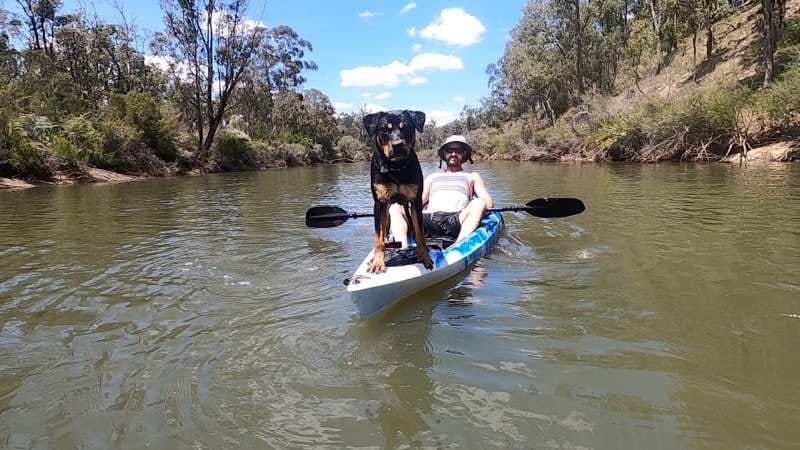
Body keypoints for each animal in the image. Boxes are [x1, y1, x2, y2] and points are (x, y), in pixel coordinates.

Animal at [366, 110, 434, 272]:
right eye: (385, 129)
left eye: (406, 127)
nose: (397, 145)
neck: (396, 168)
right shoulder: (379, 203)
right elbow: (378, 238)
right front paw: (377, 262)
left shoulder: (416, 201)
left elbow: (420, 235)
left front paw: (425, 258)